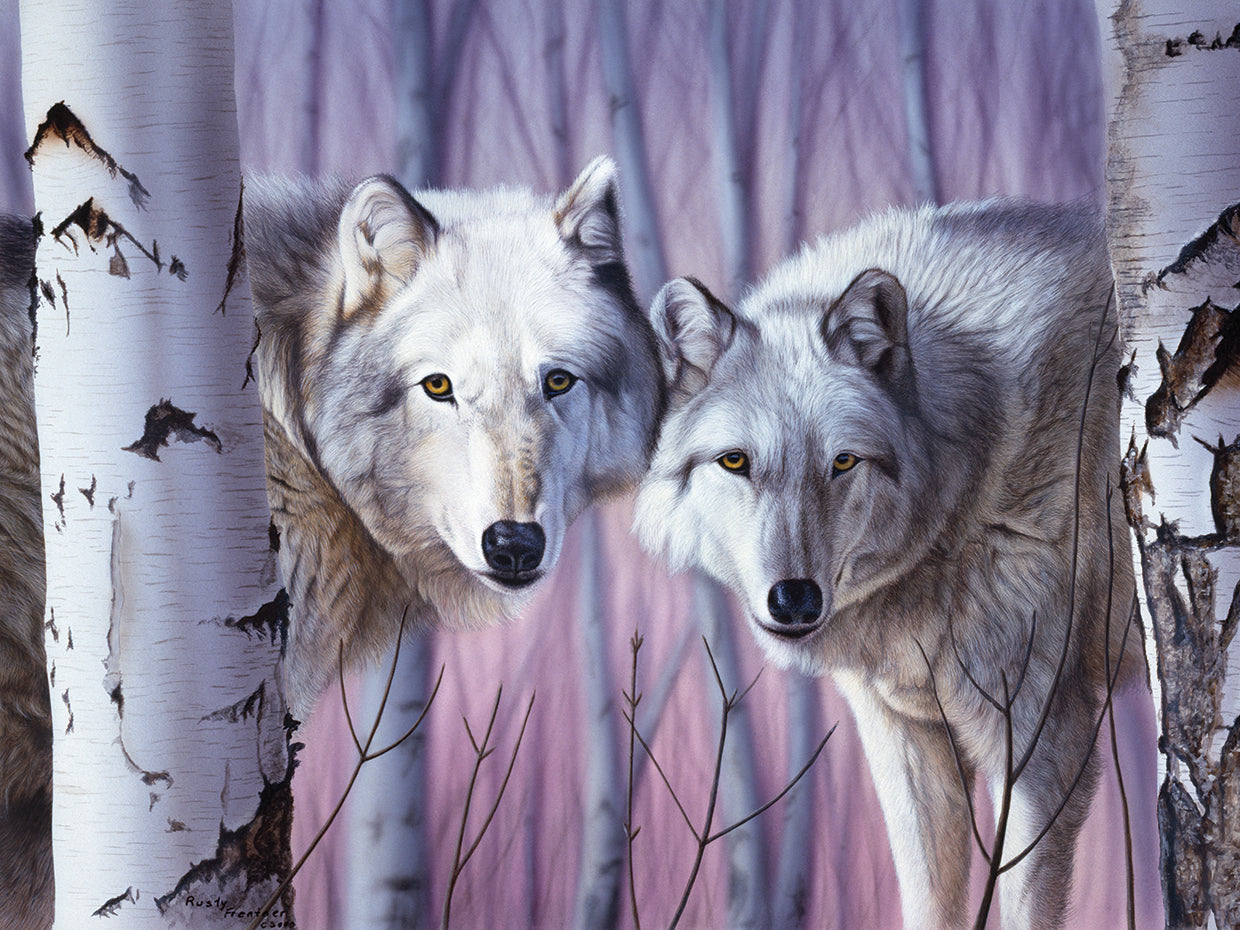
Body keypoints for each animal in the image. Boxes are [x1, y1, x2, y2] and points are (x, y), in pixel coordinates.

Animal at [635, 200, 1139, 930]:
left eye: (843, 461)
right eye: (735, 461)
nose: (794, 598)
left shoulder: (1046, 745)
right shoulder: (906, 737)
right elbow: (930, 900)